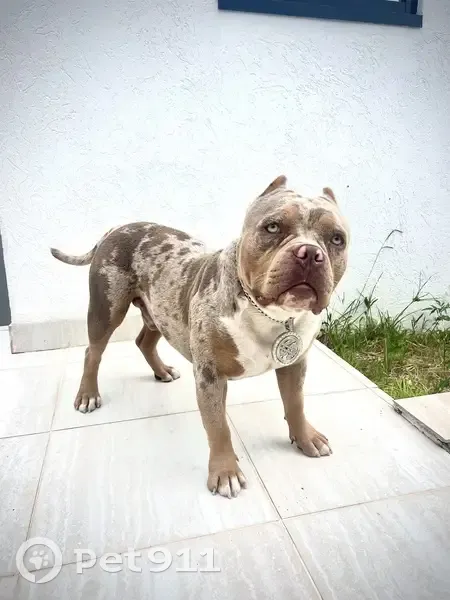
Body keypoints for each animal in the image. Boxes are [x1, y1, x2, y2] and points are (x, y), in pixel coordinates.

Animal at [51, 175, 349, 498]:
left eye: (337, 239)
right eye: (272, 227)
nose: (310, 253)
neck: (273, 315)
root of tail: (117, 228)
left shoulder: (295, 365)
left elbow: (295, 403)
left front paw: (305, 438)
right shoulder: (210, 376)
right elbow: (218, 426)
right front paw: (225, 472)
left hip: (161, 311)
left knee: (144, 341)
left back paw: (162, 371)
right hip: (106, 309)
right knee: (93, 351)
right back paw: (88, 394)